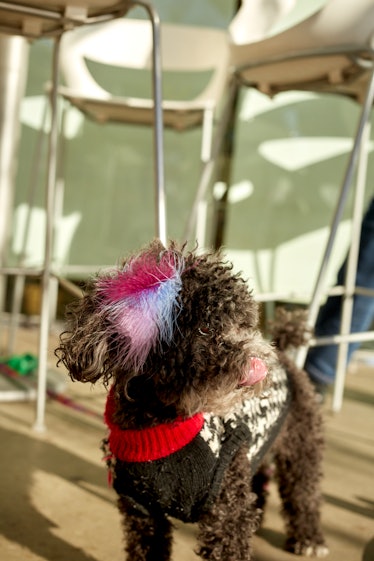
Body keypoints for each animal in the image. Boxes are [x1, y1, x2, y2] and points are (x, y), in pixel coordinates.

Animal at [55, 240, 328, 560]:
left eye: (244, 324)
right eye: (205, 328)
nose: (259, 362)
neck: (161, 424)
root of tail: (285, 355)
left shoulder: (227, 512)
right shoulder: (142, 510)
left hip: (300, 446)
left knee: (304, 492)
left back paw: (309, 539)